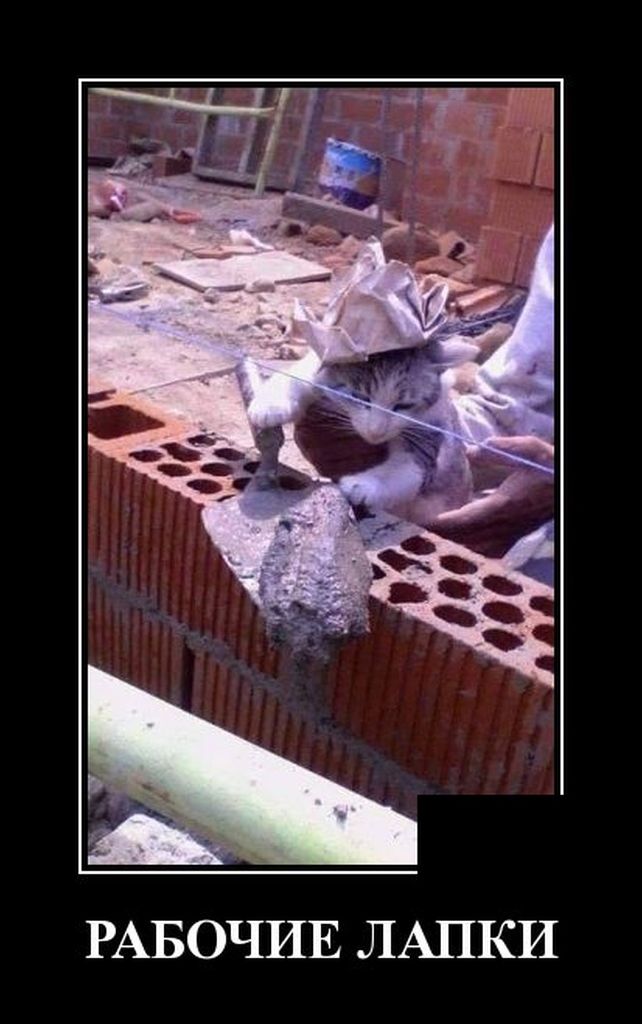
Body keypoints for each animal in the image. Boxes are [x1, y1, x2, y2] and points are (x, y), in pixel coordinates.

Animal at [248, 337, 475, 524]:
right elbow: (302, 375)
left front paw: (362, 485)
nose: (376, 431)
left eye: (404, 405)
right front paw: (270, 405)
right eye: (359, 397)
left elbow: (405, 469)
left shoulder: (428, 437)